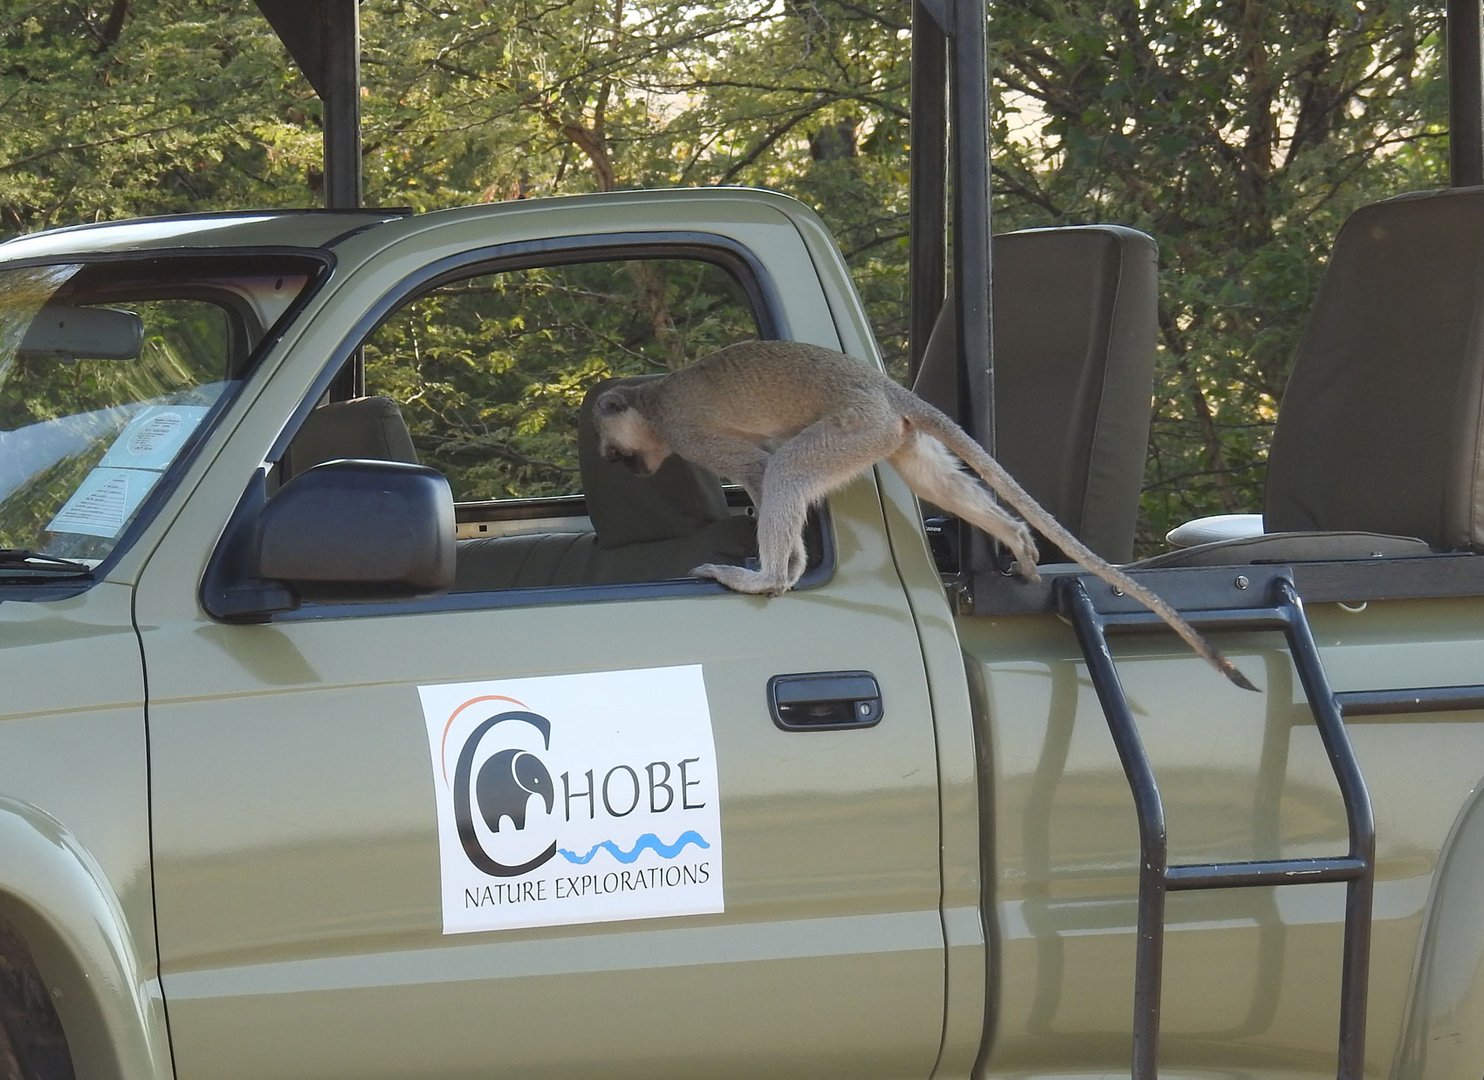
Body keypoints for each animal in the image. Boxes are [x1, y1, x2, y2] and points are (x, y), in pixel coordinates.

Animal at [590, 339, 1252, 691]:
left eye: (611, 449)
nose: (621, 468)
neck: (653, 400)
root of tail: (885, 389)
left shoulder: (687, 434)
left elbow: (758, 470)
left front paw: (786, 566)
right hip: (890, 433)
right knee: (930, 476)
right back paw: (1015, 537)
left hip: (855, 427)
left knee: (789, 472)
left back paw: (769, 579)